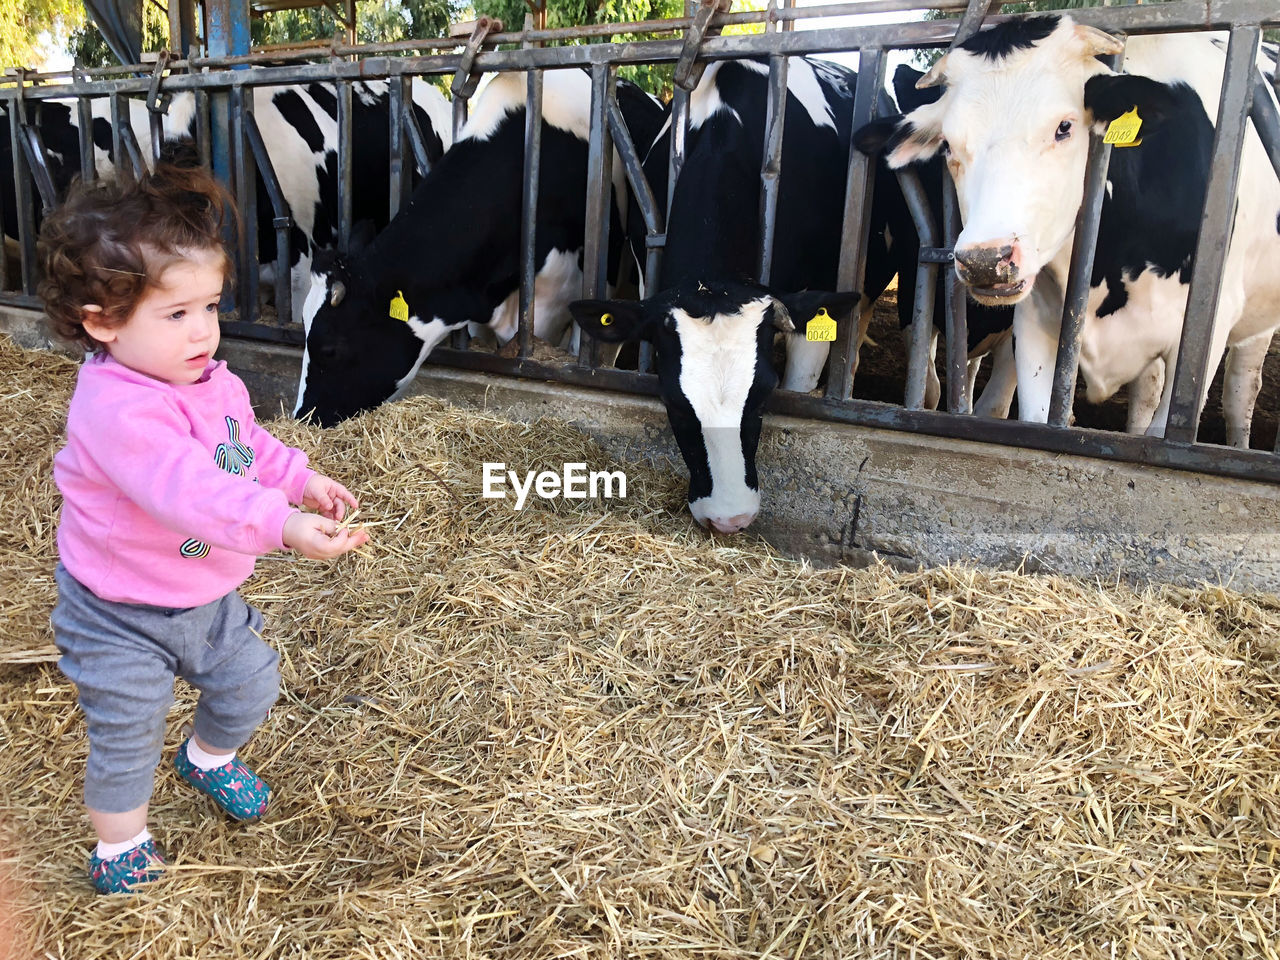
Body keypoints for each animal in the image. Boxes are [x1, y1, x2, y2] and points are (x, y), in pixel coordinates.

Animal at [855, 17, 1280, 448]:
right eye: (948, 145)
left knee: (1240, 392)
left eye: (1064, 127)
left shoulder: (1204, 337)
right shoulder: (1032, 326)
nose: (985, 261)